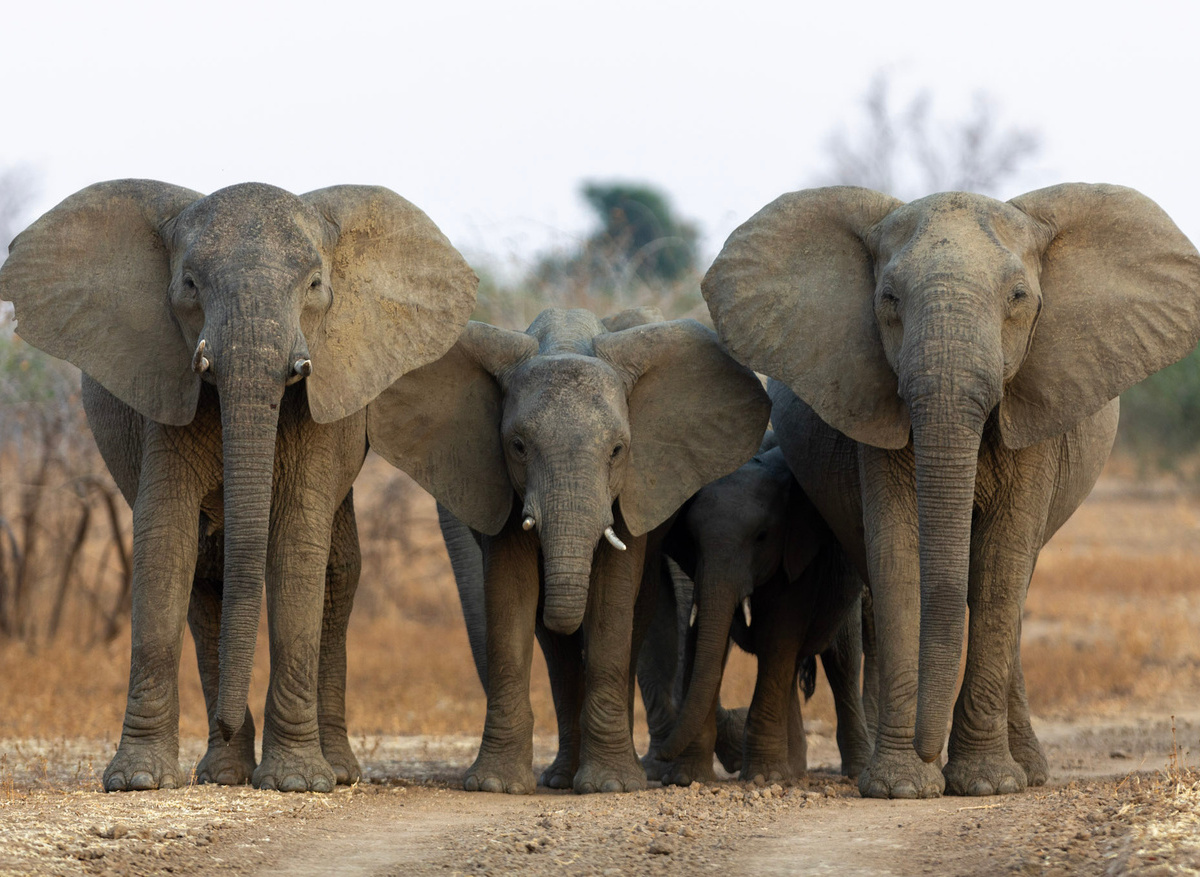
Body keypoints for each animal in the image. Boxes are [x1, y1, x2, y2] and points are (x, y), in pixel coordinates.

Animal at [0, 180, 477, 791]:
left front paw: (297, 783)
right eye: (189, 285)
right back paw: (225, 772)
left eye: (315, 286)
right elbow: (166, 541)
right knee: (207, 576)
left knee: (337, 569)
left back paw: (336, 772)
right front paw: (138, 781)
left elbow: (297, 543)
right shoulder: (165, 387)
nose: (228, 725)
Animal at [368, 306, 770, 793]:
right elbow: (513, 594)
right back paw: (562, 777)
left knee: (633, 617)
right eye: (518, 447)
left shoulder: (632, 486)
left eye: (617, 450)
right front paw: (495, 786)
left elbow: (612, 599)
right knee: (556, 648)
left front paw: (610, 787)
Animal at [651, 434, 872, 786]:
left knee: (842, 662)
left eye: (761, 537)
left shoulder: (798, 550)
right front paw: (686, 779)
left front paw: (763, 778)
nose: (660, 755)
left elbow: (779, 634)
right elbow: (703, 638)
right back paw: (794, 768)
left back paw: (852, 772)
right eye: (693, 540)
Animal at [701, 184, 1200, 798]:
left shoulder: (1035, 410)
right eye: (888, 298)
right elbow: (898, 559)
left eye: (1019, 297)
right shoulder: (876, 414)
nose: (926, 748)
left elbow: (999, 566)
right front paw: (900, 787)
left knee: (1013, 586)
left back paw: (1028, 770)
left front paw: (986, 785)